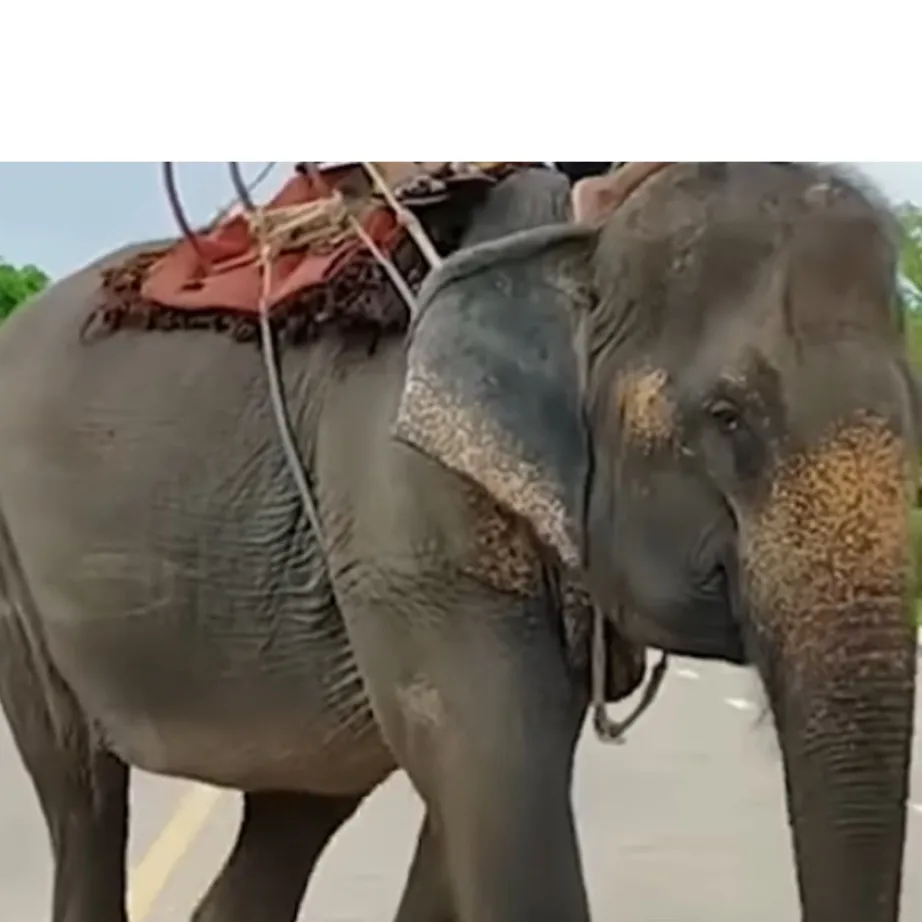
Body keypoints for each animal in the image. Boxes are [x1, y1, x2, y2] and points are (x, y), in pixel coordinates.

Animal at [0, 161, 917, 922]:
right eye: (726, 417)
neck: (583, 233)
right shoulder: (408, 506)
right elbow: (503, 788)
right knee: (83, 793)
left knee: (295, 805)